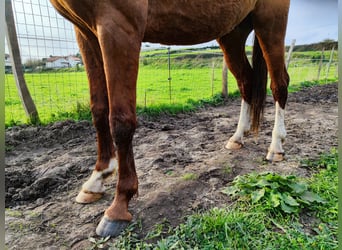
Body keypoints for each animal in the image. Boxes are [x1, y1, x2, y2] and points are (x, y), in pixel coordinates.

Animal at [50, 0, 288, 237]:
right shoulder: (85, 33)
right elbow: (99, 111)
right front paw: (97, 178)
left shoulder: (118, 25)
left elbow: (120, 120)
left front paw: (119, 206)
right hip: (232, 33)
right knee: (246, 82)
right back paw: (238, 137)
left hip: (270, 22)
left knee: (280, 83)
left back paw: (276, 146)